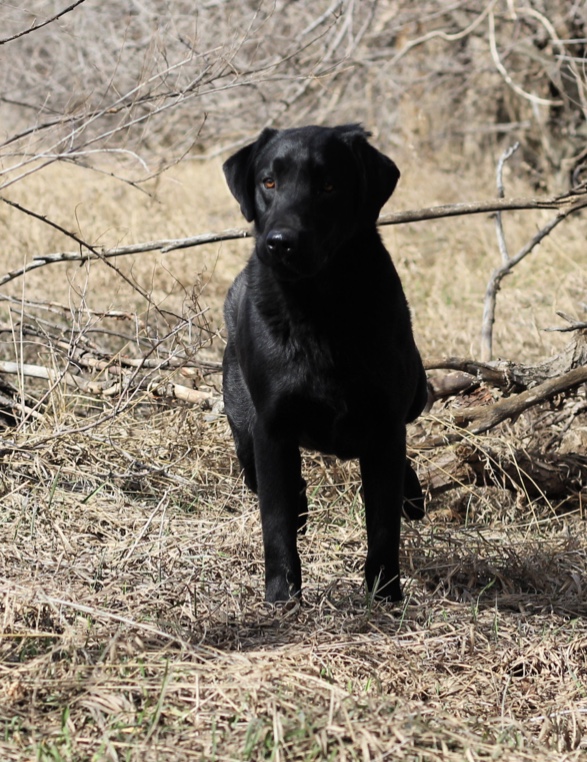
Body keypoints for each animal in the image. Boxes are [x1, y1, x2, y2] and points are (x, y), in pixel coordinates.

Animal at [220, 123, 428, 600]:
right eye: (269, 182)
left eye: (329, 185)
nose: (281, 243)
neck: (318, 307)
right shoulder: (272, 427)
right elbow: (276, 521)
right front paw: (282, 595)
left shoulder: (386, 423)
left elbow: (383, 523)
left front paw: (385, 594)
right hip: (243, 421)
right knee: (261, 473)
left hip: (417, 396)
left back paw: (411, 496)